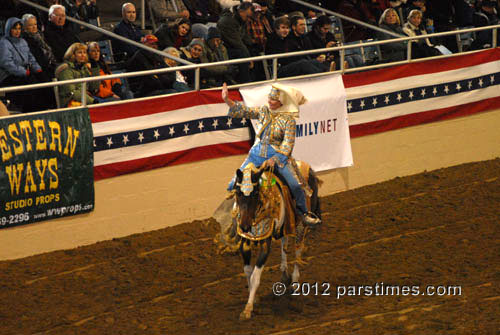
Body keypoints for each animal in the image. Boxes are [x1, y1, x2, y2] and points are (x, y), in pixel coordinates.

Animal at [229, 162, 320, 320]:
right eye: (238, 193)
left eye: (255, 193)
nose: (245, 226)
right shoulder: (245, 242)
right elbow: (248, 271)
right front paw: (254, 298)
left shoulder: (266, 245)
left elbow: (255, 277)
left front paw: (247, 309)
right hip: (286, 225)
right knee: (285, 243)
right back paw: (284, 274)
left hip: (301, 225)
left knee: (298, 250)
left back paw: (294, 282)